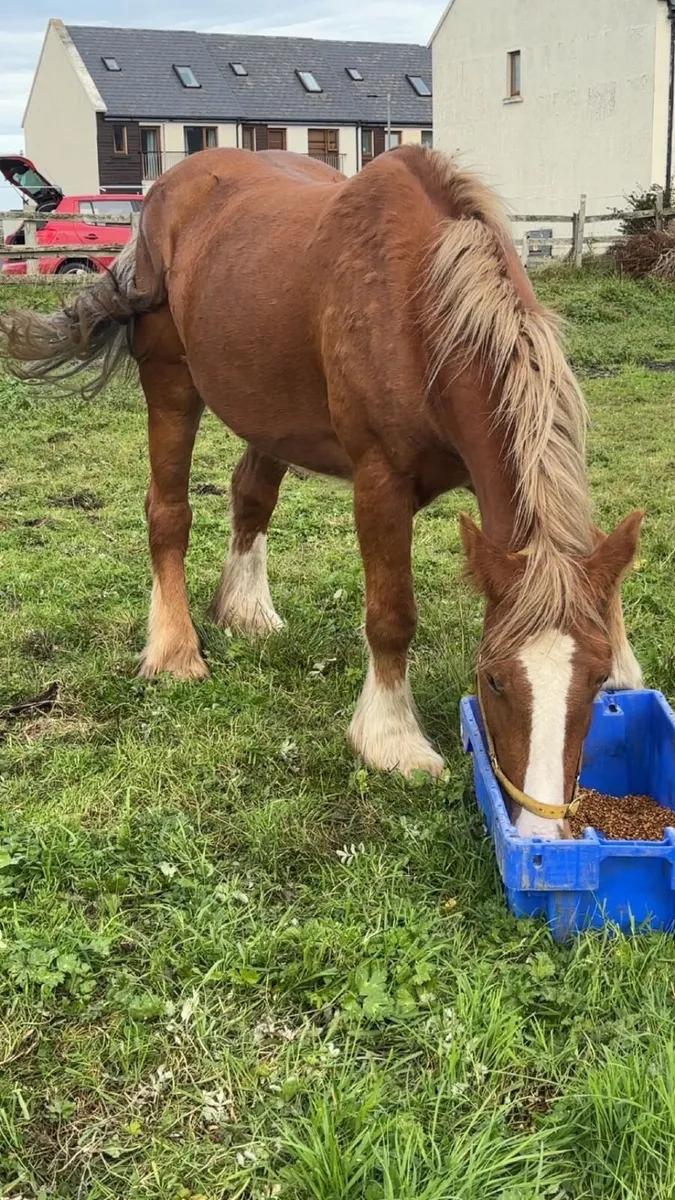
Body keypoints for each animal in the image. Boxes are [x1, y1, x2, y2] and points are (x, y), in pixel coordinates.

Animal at [0, 145, 644, 839]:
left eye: (594, 678)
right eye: (493, 679)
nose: (540, 832)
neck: (423, 304)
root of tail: (164, 195)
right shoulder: (380, 482)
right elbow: (391, 616)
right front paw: (392, 740)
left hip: (271, 411)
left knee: (250, 497)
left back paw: (246, 612)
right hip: (171, 385)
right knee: (168, 513)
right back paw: (175, 651)